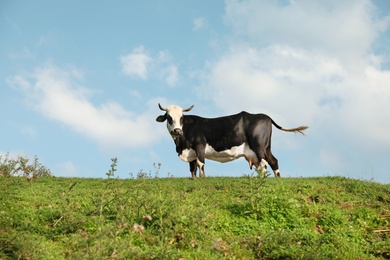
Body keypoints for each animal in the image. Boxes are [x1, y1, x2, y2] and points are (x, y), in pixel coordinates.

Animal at [155, 103, 308, 179]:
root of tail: (265, 116)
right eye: (169, 117)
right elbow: (192, 168)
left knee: (264, 162)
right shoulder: (190, 151)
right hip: (266, 146)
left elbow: (200, 163)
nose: (177, 130)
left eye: (181, 117)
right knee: (273, 161)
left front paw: (203, 178)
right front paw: (193, 180)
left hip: (258, 145)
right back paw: (277, 179)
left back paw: (261, 179)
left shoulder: (199, 146)